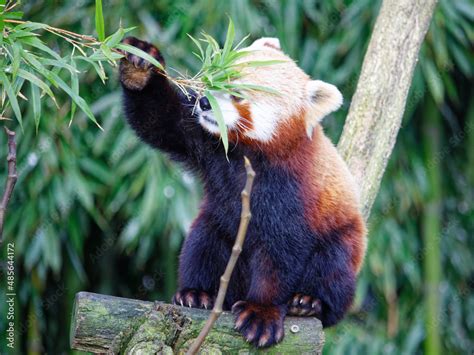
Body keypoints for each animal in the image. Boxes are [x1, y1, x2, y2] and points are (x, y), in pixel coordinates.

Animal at [118, 36, 366, 350]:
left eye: (237, 94)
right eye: (216, 78)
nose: (204, 102)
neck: (246, 151)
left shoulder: (292, 191)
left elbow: (280, 253)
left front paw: (261, 312)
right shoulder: (204, 140)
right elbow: (160, 122)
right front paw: (140, 65)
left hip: (344, 240)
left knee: (333, 270)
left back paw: (309, 303)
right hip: (215, 224)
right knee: (203, 243)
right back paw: (197, 293)